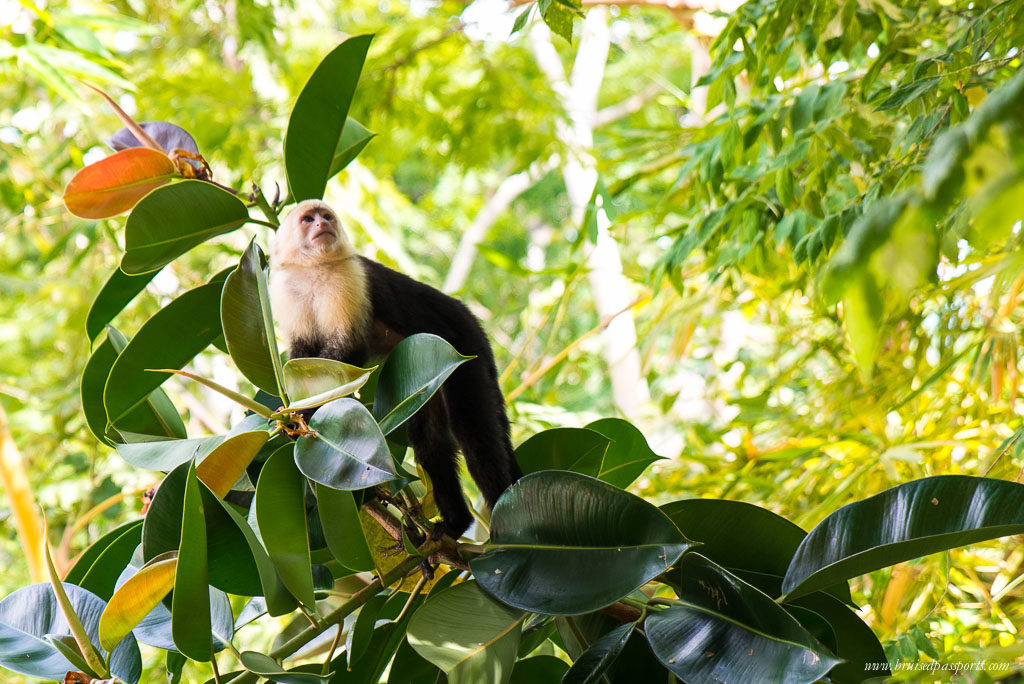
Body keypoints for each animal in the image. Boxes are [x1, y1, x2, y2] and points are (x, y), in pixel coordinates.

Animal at [268, 197, 524, 540]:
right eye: (308, 220)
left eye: (327, 217)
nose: (323, 225)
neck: (314, 269)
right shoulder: (285, 289)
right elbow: (302, 356)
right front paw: (290, 410)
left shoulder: (347, 277)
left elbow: (349, 351)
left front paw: (305, 414)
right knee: (430, 441)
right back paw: (456, 524)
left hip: (467, 348)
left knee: (472, 429)